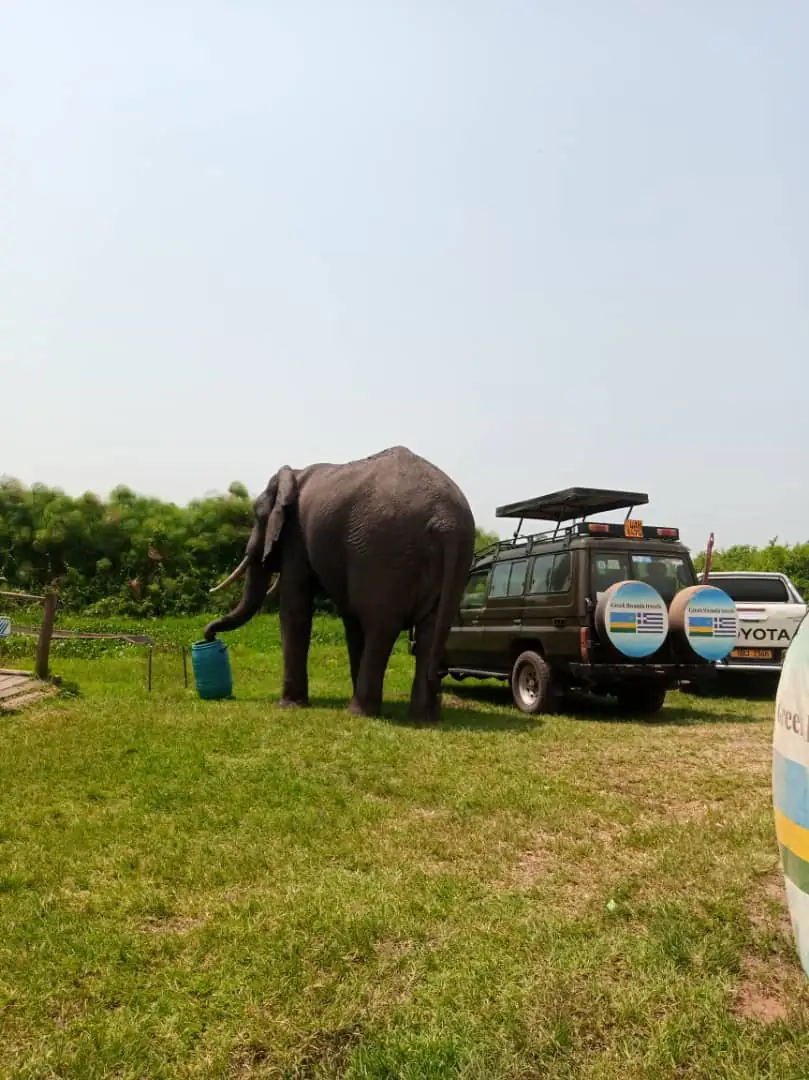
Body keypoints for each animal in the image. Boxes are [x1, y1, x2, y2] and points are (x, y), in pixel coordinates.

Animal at [204, 446, 476, 723]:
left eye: (258, 518)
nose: (209, 636)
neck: (294, 475)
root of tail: (445, 521)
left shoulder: (296, 537)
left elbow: (295, 610)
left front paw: (289, 706)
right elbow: (350, 621)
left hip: (384, 552)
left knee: (380, 626)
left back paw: (359, 712)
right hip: (455, 556)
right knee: (428, 631)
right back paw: (423, 717)